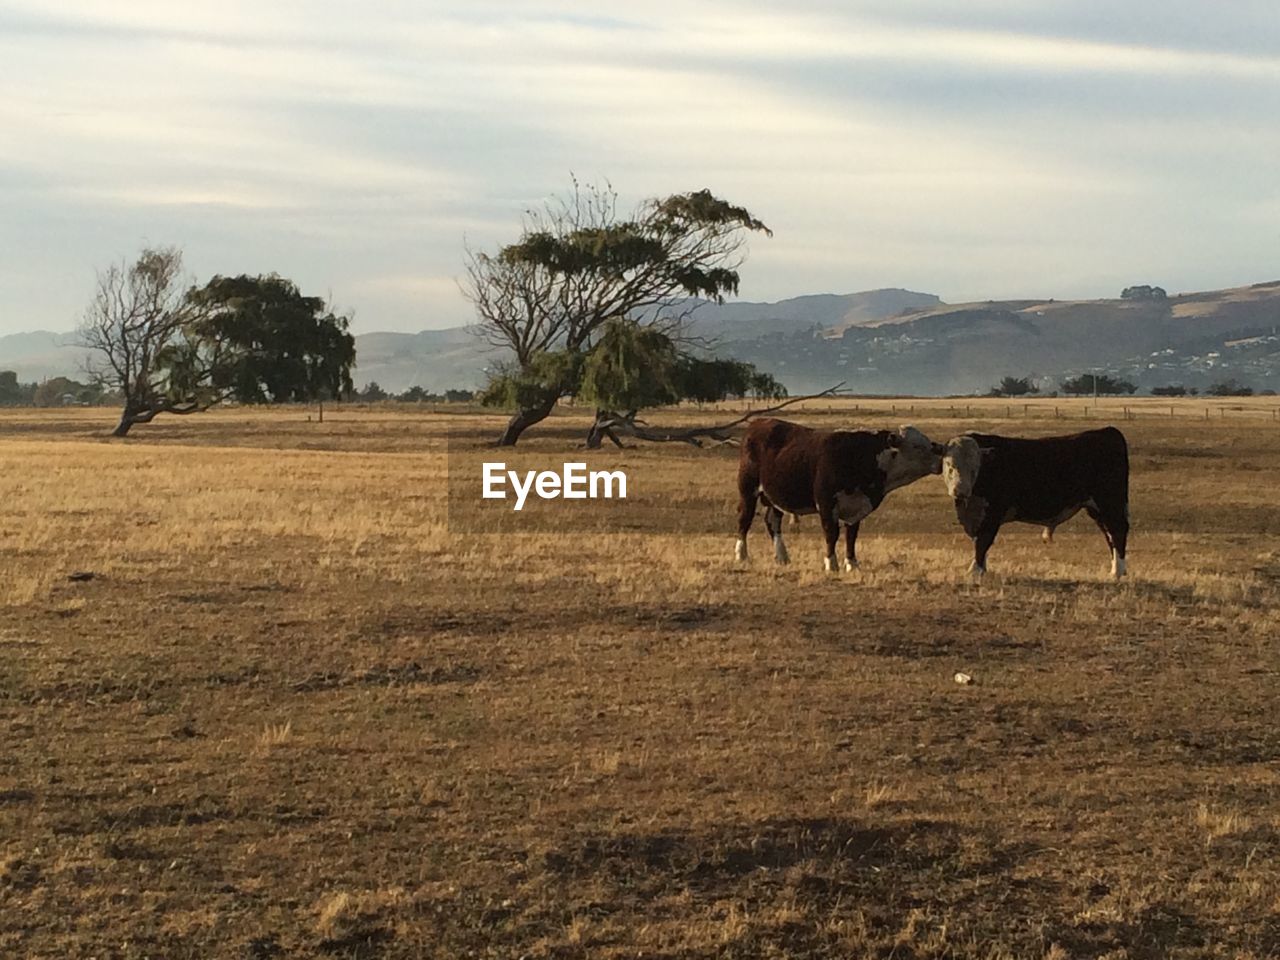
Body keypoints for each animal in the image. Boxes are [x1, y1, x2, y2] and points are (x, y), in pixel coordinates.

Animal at [737, 419, 947, 570]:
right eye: (917, 446)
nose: (940, 461)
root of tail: (758, 423)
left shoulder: (856, 506)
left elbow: (851, 536)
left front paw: (852, 564)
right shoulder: (826, 503)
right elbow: (831, 533)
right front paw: (831, 564)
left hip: (776, 498)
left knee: (773, 522)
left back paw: (782, 557)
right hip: (748, 489)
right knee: (744, 519)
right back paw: (741, 555)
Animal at [942, 427, 1131, 578]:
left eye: (975, 468)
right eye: (949, 465)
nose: (960, 490)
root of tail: (1108, 431)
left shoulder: (993, 513)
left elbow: (983, 541)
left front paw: (975, 570)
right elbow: (979, 542)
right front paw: (981, 568)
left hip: (1109, 502)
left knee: (1117, 530)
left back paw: (1117, 572)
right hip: (1096, 508)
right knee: (1108, 534)